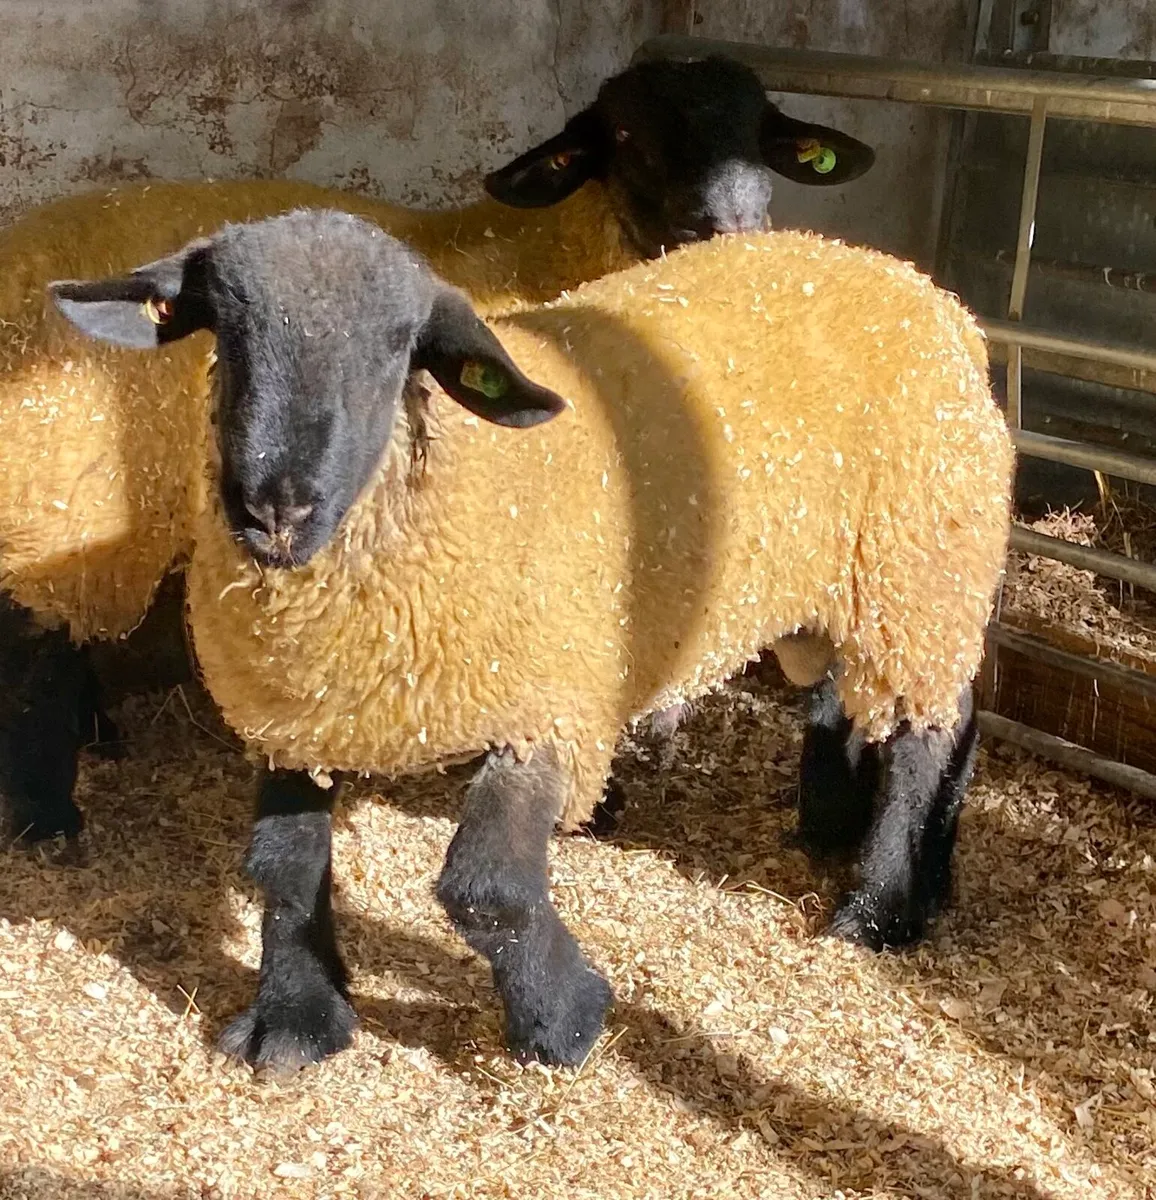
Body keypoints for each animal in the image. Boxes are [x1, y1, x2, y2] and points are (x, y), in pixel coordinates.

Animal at [0, 54, 875, 844]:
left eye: (759, 131)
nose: (730, 223)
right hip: (70, 490)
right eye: (626, 133)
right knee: (39, 650)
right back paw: (49, 816)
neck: (536, 254)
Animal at [49, 208, 1012, 1071]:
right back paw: (858, 842)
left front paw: (566, 1021)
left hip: (921, 574)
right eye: (223, 326)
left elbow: (486, 889)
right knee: (868, 703)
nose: (274, 508)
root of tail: (909, 280)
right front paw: (296, 1019)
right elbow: (282, 867)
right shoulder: (301, 720)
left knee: (933, 727)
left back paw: (883, 905)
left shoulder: (546, 709)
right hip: (847, 593)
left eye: (397, 346)